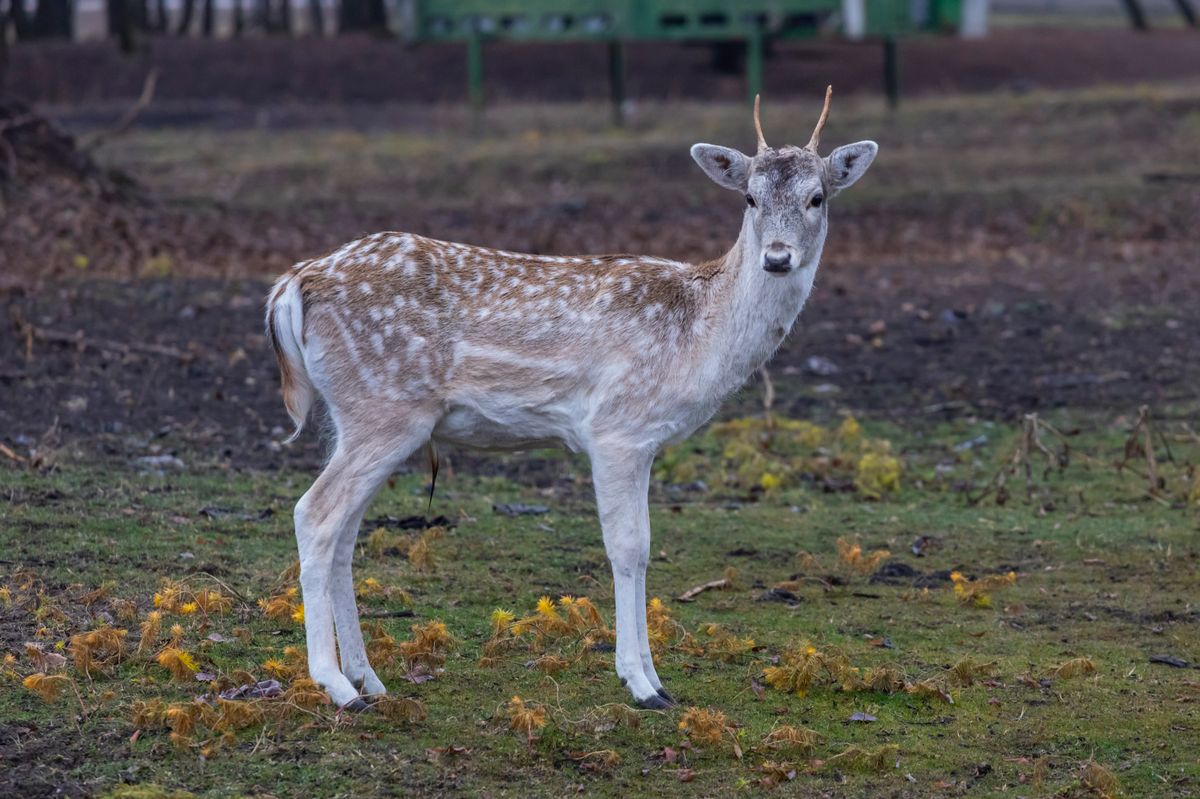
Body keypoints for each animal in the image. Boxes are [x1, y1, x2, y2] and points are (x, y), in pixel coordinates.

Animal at [267, 88, 878, 710]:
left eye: (817, 197)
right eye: (750, 197)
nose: (777, 258)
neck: (697, 338)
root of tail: (293, 285)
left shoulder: (645, 440)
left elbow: (646, 545)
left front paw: (658, 679)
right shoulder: (616, 428)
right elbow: (627, 547)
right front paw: (641, 684)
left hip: (354, 415)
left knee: (344, 533)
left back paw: (369, 679)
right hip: (386, 409)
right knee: (314, 514)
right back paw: (336, 685)